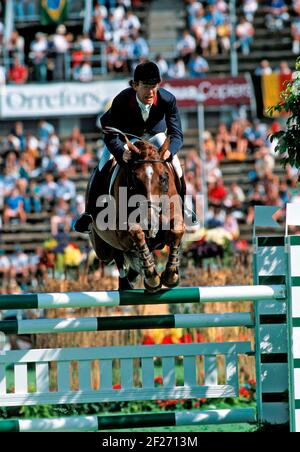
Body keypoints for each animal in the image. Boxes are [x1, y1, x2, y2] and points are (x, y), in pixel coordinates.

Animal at [89, 136, 185, 294]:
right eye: (135, 178)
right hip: (103, 249)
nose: (150, 223)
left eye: (163, 178)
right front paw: (152, 278)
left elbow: (176, 230)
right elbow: (137, 233)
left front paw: (171, 275)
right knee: (117, 257)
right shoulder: (121, 233)